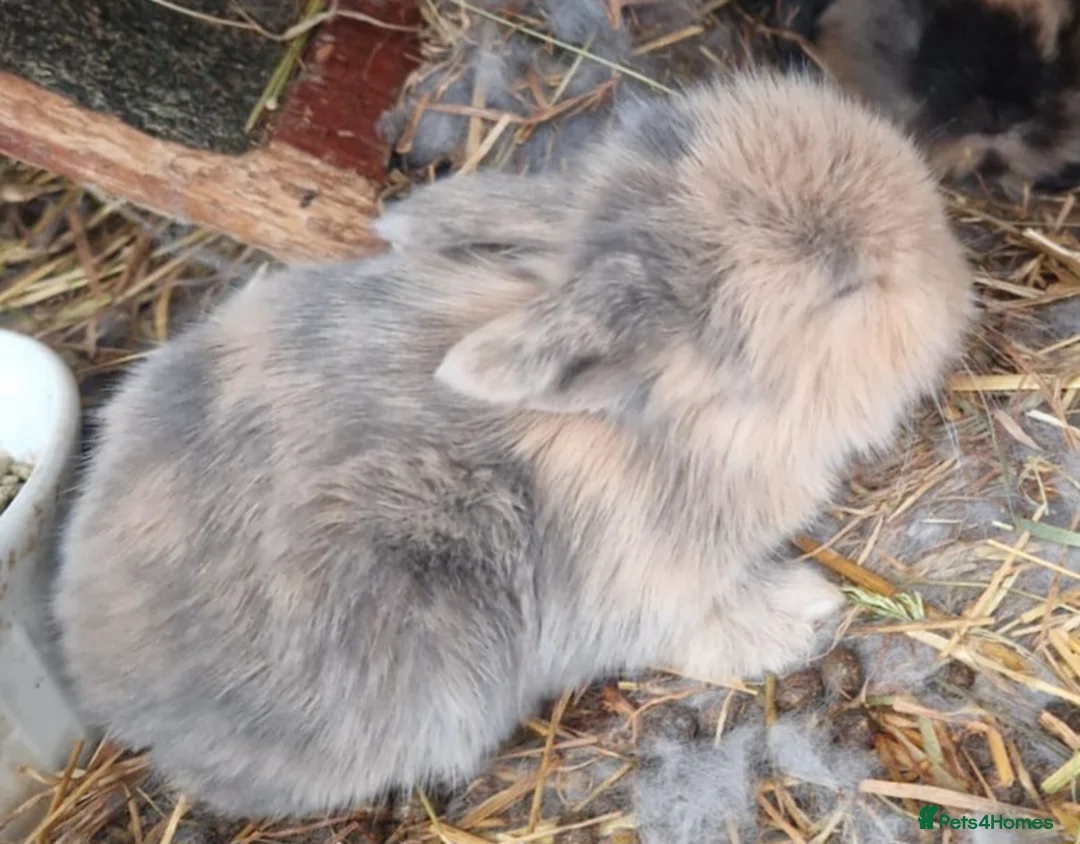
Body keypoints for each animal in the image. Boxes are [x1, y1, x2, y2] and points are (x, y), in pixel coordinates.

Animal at [53, 70, 975, 820]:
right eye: (847, 285)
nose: (957, 274)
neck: (681, 418)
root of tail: (99, 677)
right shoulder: (656, 592)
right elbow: (705, 628)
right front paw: (804, 614)